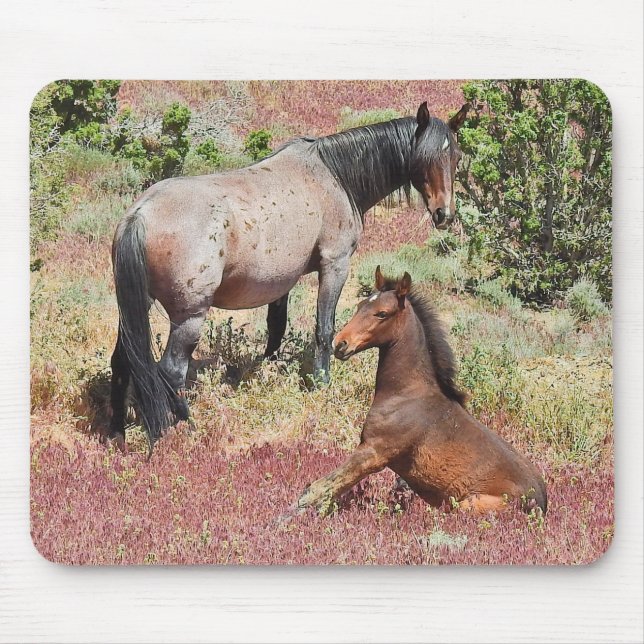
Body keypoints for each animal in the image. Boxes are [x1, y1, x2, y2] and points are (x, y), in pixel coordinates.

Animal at [109, 101, 470, 448]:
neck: (333, 176)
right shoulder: (335, 265)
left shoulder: (281, 281)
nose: (445, 214)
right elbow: (324, 329)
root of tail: (139, 215)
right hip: (189, 317)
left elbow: (276, 327)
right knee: (171, 372)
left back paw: (116, 433)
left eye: (455, 156)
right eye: (425, 157)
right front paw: (322, 383)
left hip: (135, 308)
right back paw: (188, 426)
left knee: (122, 361)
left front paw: (269, 369)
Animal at [296, 267, 547, 515]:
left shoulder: (374, 453)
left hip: (467, 504)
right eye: (360, 306)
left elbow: (318, 489)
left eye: (382, 313)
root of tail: (541, 503)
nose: (340, 344)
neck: (407, 394)